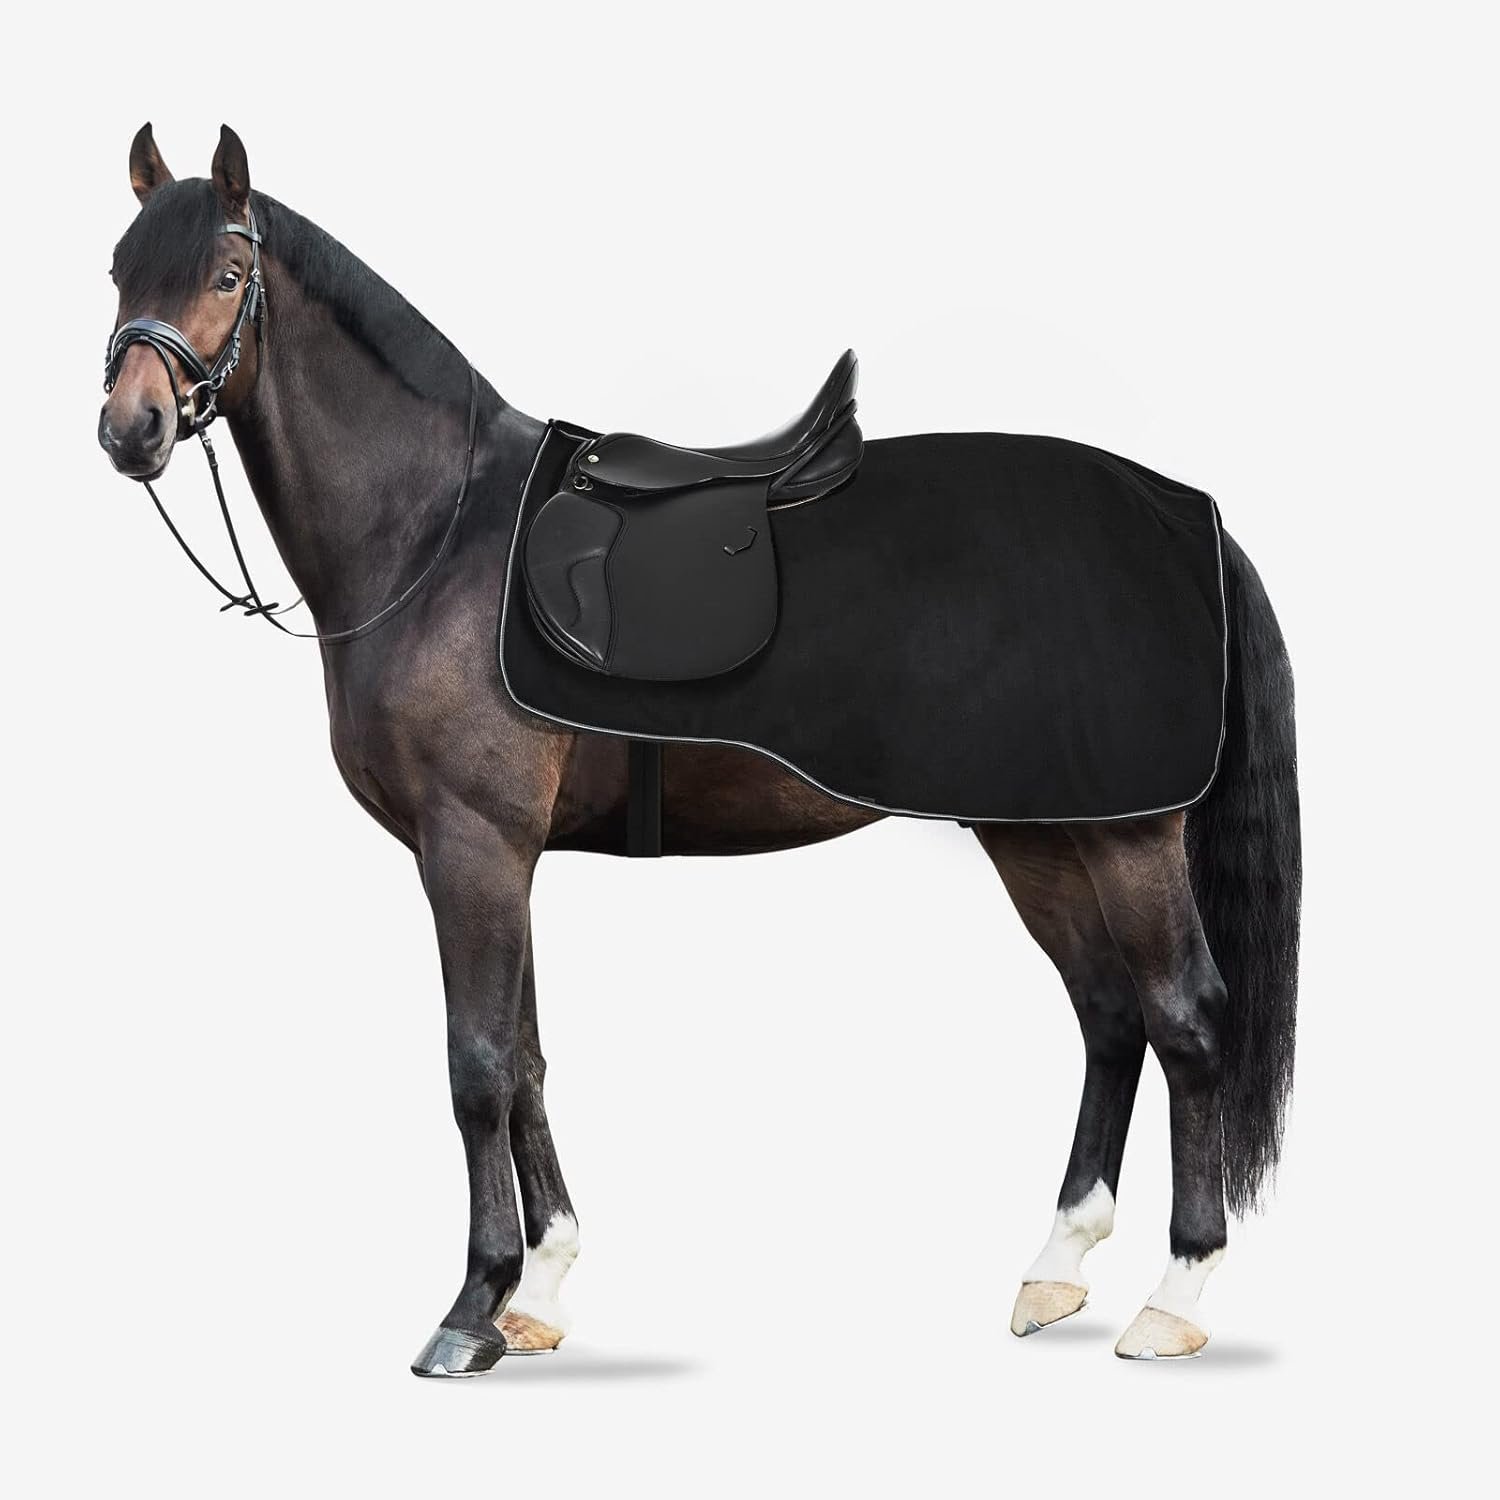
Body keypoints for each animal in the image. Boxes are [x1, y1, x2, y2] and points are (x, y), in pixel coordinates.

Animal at [98, 124, 1300, 1376]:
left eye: (225, 275)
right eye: (117, 272)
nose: (131, 429)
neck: (437, 530)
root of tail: (1189, 514)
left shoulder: (470, 846)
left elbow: (476, 1067)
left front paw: (473, 1306)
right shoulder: (502, 856)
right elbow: (527, 1057)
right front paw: (542, 1288)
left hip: (1126, 838)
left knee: (1188, 1021)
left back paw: (1177, 1294)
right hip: (1042, 835)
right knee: (1110, 1016)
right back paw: (1057, 1267)